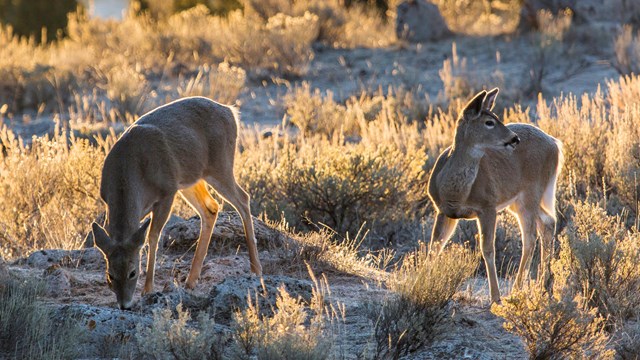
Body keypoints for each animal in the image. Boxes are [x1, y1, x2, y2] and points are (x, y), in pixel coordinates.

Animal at [91, 95, 262, 310]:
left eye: (133, 272)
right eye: (110, 275)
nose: (125, 305)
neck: (130, 170)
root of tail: (230, 112)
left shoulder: (167, 193)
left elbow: (153, 236)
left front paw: (148, 289)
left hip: (220, 166)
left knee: (242, 199)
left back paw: (256, 269)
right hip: (191, 179)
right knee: (211, 208)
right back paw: (191, 280)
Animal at [428, 88, 564, 304]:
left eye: (496, 117)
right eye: (489, 122)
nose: (514, 139)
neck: (455, 191)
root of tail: (555, 143)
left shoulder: (488, 206)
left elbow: (488, 249)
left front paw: (495, 297)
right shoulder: (443, 210)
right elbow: (435, 246)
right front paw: (420, 280)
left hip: (531, 192)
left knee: (530, 237)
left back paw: (517, 289)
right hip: (518, 200)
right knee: (548, 222)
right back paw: (545, 286)